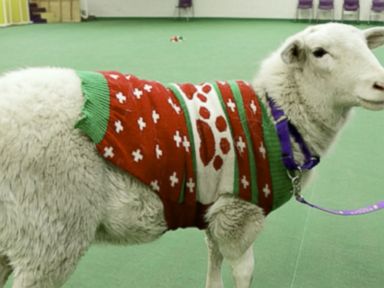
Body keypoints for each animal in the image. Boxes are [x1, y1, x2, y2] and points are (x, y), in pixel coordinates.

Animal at [0, 23, 384, 288]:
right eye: (319, 52)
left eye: (366, 46)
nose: (381, 83)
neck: (278, 116)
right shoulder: (240, 211)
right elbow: (244, 271)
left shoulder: (215, 211)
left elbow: (213, 260)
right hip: (50, 227)